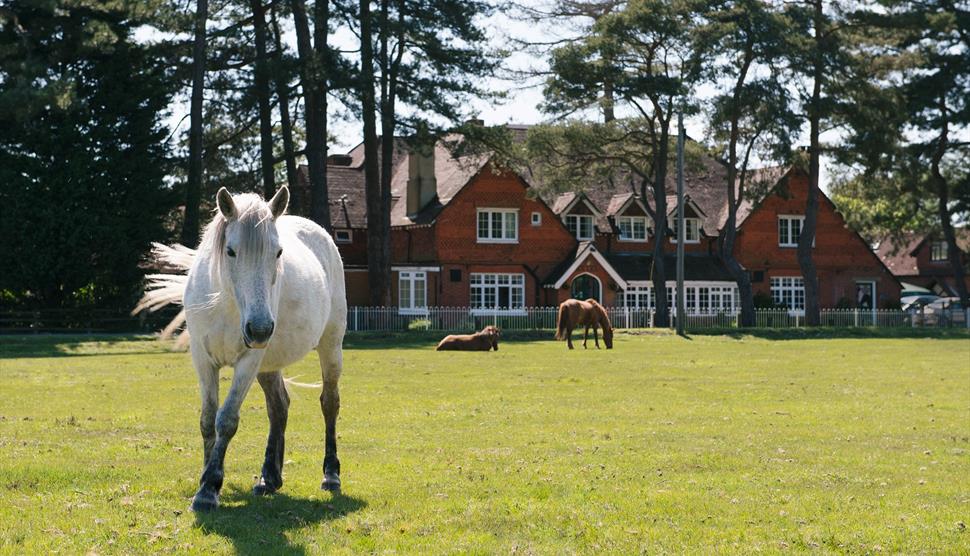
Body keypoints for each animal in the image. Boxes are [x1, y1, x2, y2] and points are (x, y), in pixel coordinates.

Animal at [135, 188, 348, 512]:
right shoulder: (203, 361)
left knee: (329, 403)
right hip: (269, 365)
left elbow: (226, 420)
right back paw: (269, 478)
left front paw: (208, 488)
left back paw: (331, 475)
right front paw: (206, 477)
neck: (227, 306)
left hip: (330, 346)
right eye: (231, 251)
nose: (259, 330)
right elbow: (207, 419)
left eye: (278, 253)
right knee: (279, 407)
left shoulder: (248, 361)